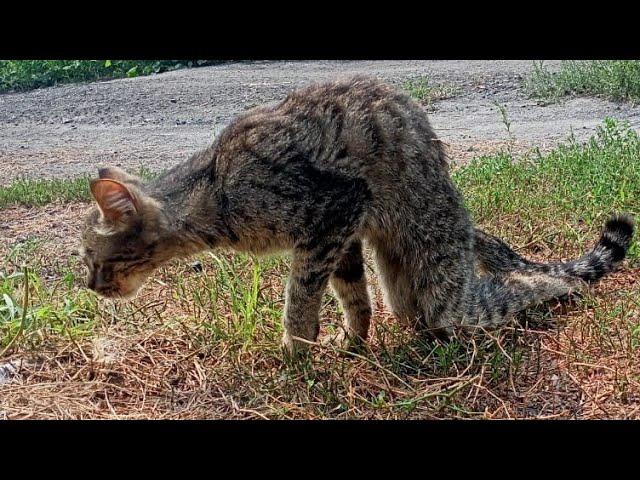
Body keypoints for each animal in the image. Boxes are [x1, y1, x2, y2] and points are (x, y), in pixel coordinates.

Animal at [80, 75, 636, 352]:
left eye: (92, 257)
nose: (90, 286)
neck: (212, 192)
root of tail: (465, 222)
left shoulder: (334, 211)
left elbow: (301, 298)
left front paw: (296, 352)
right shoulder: (342, 235)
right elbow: (353, 296)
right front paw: (353, 342)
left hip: (437, 286)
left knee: (511, 287)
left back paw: (561, 288)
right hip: (404, 283)